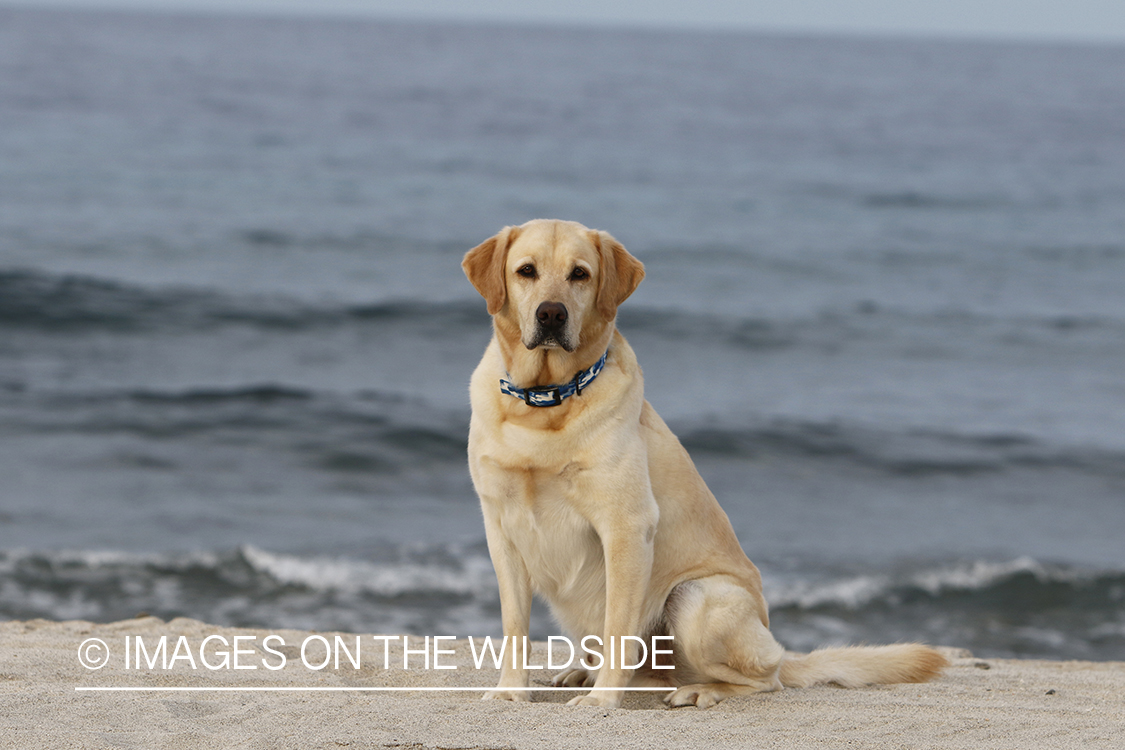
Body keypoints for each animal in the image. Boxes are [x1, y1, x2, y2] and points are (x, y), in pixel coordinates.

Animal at [461, 218, 945, 710]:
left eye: (580, 274)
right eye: (526, 271)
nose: (551, 314)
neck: (545, 405)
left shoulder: (626, 527)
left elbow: (619, 626)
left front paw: (602, 702)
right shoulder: (500, 530)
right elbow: (514, 626)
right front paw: (511, 691)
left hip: (695, 598)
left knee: (763, 679)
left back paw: (697, 690)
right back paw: (585, 673)